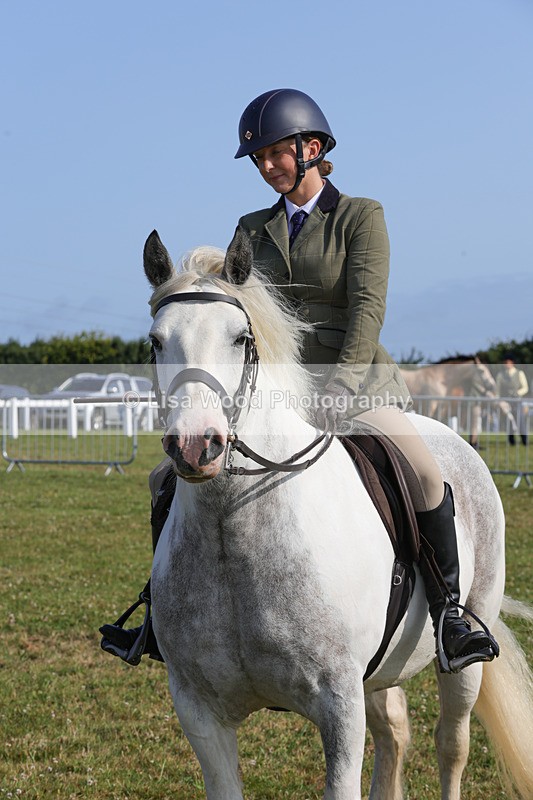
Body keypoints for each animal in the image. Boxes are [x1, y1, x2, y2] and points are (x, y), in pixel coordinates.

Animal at [143, 228, 533, 800]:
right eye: (156, 341)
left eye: (240, 338)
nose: (196, 446)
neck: (231, 532)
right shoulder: (199, 711)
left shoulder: (339, 708)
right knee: (395, 733)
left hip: (462, 662)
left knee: (451, 745)